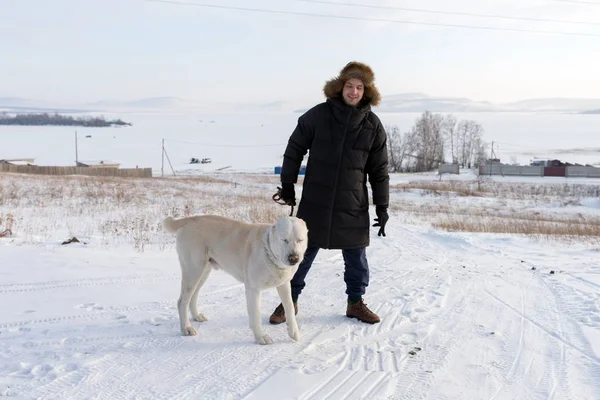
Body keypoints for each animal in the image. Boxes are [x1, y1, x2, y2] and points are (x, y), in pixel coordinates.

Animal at [162, 214, 308, 346]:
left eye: (300, 240)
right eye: (284, 240)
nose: (294, 258)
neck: (269, 252)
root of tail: (190, 219)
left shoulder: (284, 284)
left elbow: (289, 307)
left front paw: (294, 332)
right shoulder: (253, 289)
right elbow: (256, 316)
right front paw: (261, 337)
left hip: (203, 272)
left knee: (193, 296)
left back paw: (197, 316)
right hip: (193, 270)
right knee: (182, 301)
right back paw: (186, 328)